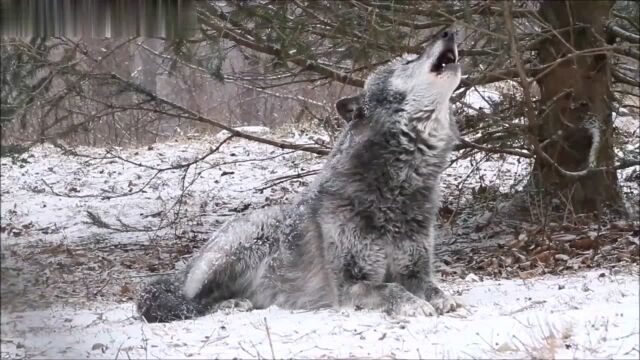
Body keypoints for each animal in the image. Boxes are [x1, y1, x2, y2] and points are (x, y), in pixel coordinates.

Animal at [139, 31, 460, 324]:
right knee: (190, 302)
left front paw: (443, 299)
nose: (450, 32)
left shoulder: (415, 271)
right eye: (408, 61)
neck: (396, 186)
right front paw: (414, 305)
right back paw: (229, 305)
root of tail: (189, 262)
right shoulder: (350, 285)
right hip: (245, 242)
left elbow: (432, 288)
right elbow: (391, 289)